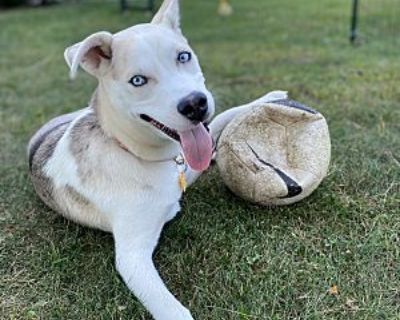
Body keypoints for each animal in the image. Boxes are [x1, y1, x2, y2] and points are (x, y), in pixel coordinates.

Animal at [26, 1, 286, 318]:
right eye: (137, 80)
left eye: (183, 56)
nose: (195, 105)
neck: (132, 151)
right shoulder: (132, 258)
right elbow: (174, 311)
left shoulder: (183, 163)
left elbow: (222, 119)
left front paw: (268, 97)